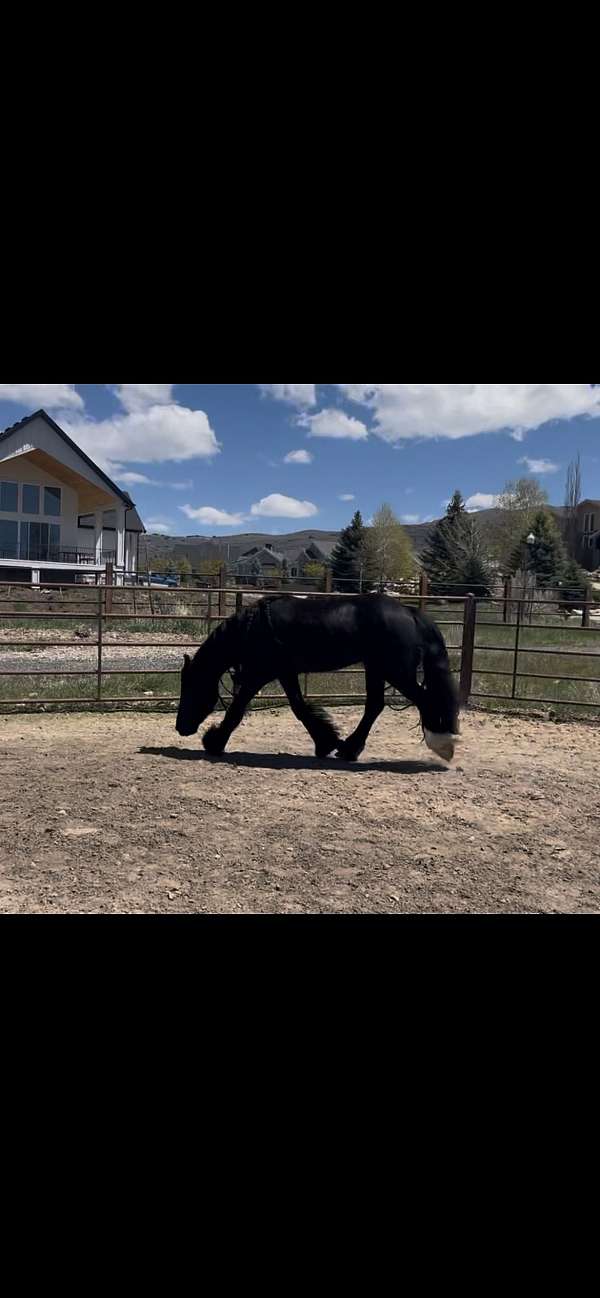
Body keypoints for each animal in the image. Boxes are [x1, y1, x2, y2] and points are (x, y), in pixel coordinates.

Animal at [176, 594, 461, 763]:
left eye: (190, 687)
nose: (181, 727)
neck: (254, 627)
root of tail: (411, 612)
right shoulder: (285, 672)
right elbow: (299, 708)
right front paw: (326, 742)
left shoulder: (260, 674)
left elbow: (236, 709)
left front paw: (214, 742)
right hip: (377, 669)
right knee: (375, 706)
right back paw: (348, 749)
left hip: (395, 672)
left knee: (424, 700)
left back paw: (442, 745)